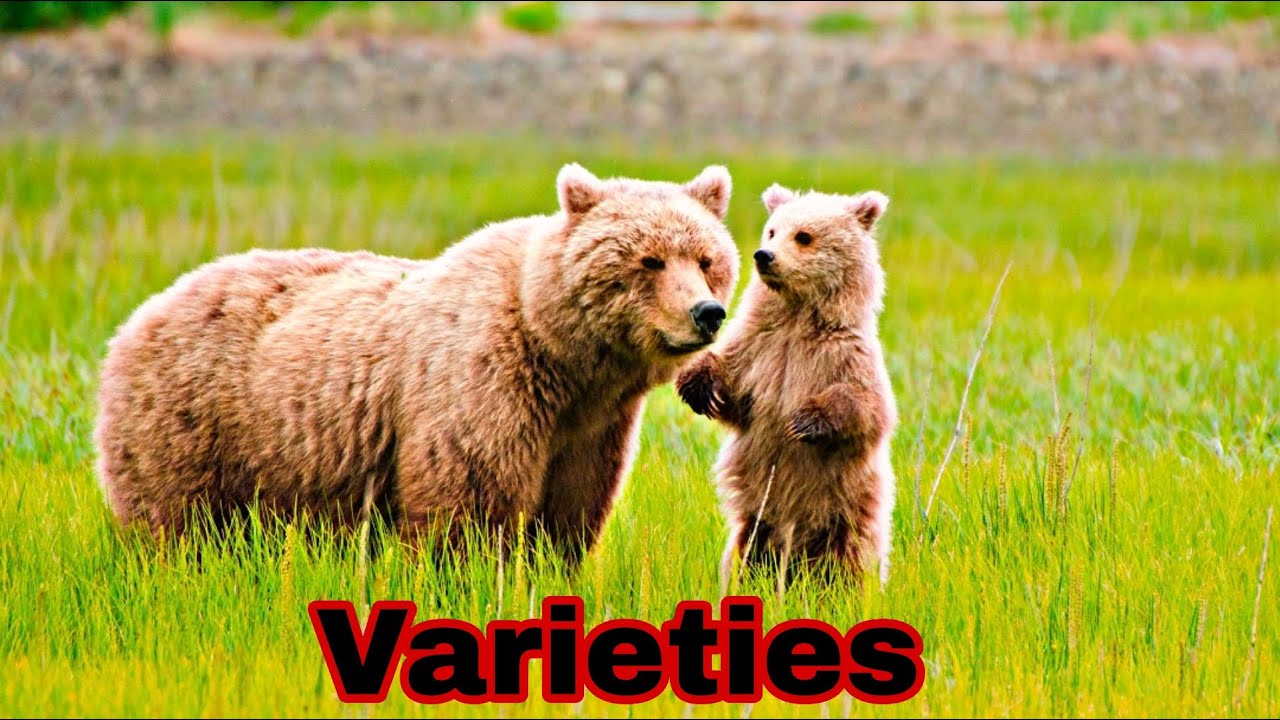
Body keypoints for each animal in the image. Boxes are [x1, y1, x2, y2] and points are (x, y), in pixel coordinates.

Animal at [94, 163, 740, 564]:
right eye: (649, 260)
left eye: (706, 259)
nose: (707, 313)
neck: (565, 357)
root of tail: (141, 312)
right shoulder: (485, 384)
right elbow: (469, 504)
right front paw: (471, 577)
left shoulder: (589, 429)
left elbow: (569, 514)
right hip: (194, 419)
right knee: (178, 523)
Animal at [675, 183, 898, 593]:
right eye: (772, 231)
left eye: (804, 236)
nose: (764, 256)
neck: (799, 316)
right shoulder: (761, 350)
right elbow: (733, 384)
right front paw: (702, 388)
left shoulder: (845, 356)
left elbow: (867, 409)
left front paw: (805, 420)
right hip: (756, 522)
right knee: (747, 559)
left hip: (847, 515)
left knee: (849, 564)